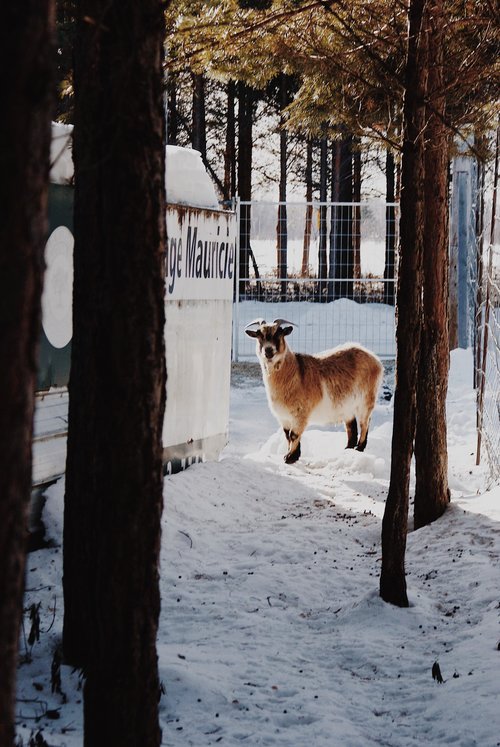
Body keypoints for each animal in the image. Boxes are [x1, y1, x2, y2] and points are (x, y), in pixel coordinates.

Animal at [245, 318, 382, 464]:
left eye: (279, 334)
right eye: (259, 335)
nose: (268, 351)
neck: (295, 371)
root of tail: (375, 359)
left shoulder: (301, 413)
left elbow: (294, 435)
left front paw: (290, 457)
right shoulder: (284, 417)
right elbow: (287, 435)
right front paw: (293, 454)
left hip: (366, 400)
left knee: (364, 423)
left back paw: (359, 448)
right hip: (347, 406)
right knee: (352, 427)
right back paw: (347, 449)